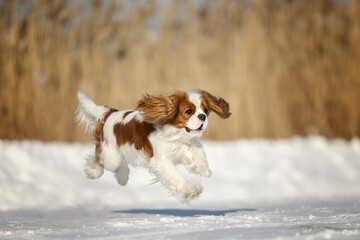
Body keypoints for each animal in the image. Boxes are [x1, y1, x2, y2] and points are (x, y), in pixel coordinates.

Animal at [76, 90, 231, 202]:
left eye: (206, 110)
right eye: (189, 111)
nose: (202, 117)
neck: (177, 135)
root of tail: (110, 113)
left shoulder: (188, 144)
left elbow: (199, 152)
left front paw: (203, 169)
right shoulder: (162, 162)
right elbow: (176, 176)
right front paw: (191, 190)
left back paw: (122, 178)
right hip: (110, 157)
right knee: (99, 159)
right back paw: (94, 172)